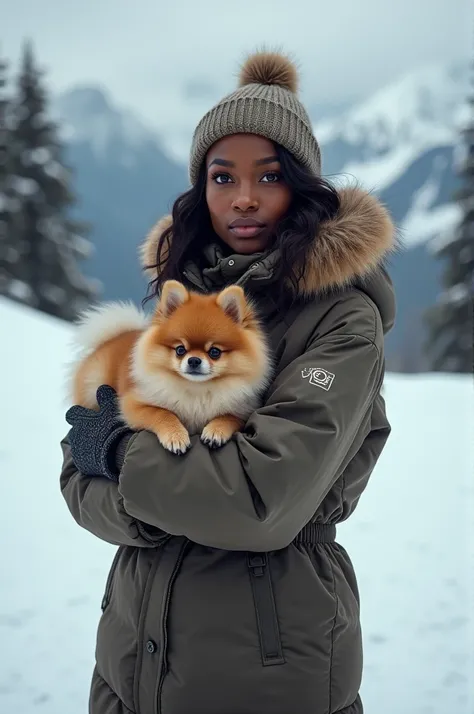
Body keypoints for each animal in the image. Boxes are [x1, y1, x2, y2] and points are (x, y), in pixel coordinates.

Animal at [68, 278, 272, 450]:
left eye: (215, 352)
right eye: (180, 349)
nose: (194, 360)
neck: (196, 391)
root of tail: (113, 338)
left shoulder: (243, 411)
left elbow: (229, 417)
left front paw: (216, 431)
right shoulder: (134, 404)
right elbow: (163, 413)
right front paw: (176, 436)